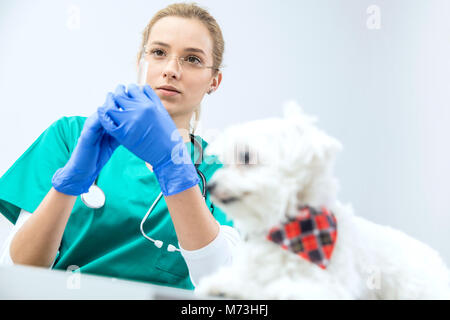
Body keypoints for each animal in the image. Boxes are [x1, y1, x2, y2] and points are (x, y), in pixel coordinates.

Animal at [198, 102, 450, 300]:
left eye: (246, 156)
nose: (210, 186)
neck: (290, 232)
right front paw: (226, 285)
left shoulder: (328, 287)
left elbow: (283, 288)